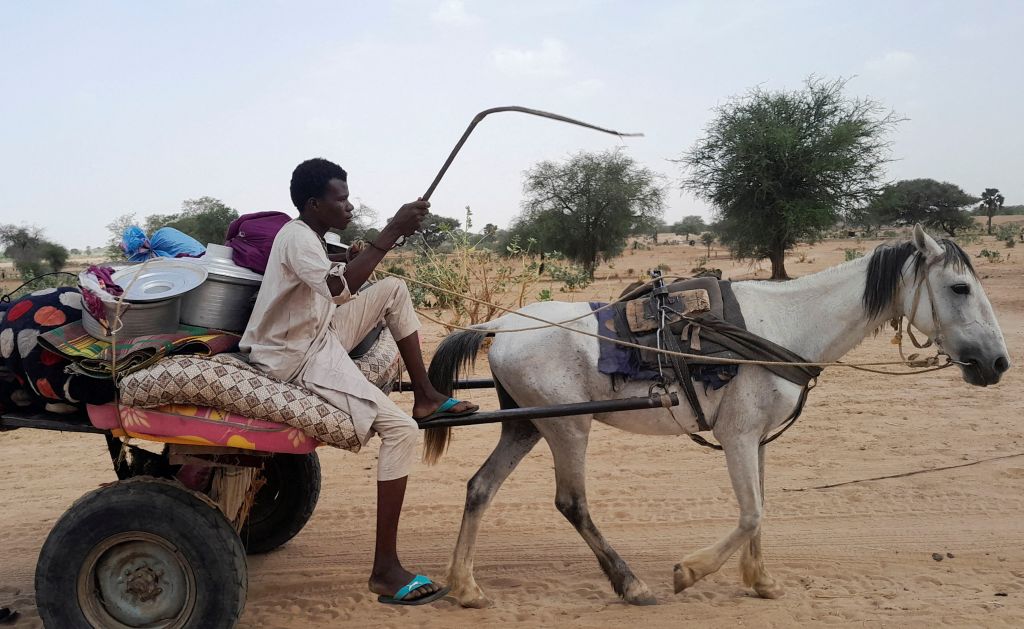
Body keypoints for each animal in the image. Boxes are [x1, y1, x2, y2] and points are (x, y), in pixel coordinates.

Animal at [421, 225, 1007, 606]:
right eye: (960, 288)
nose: (998, 363)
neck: (780, 325)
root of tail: (500, 325)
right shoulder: (738, 436)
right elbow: (750, 514)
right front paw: (690, 571)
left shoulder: (759, 440)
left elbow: (761, 511)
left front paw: (761, 580)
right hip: (568, 427)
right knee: (571, 503)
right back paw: (631, 584)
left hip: (527, 426)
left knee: (480, 488)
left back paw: (465, 587)